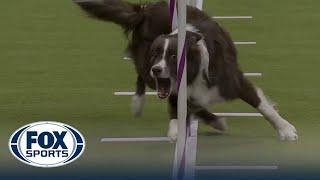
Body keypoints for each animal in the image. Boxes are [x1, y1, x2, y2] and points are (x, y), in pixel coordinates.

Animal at [74, 0, 298, 141]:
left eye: (173, 57)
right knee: (141, 77)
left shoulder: (234, 81)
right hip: (145, 67)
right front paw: (175, 130)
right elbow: (179, 109)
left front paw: (286, 130)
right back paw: (138, 103)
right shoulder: (173, 89)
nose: (157, 69)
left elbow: (263, 106)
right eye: (156, 54)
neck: (194, 73)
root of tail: (144, 10)